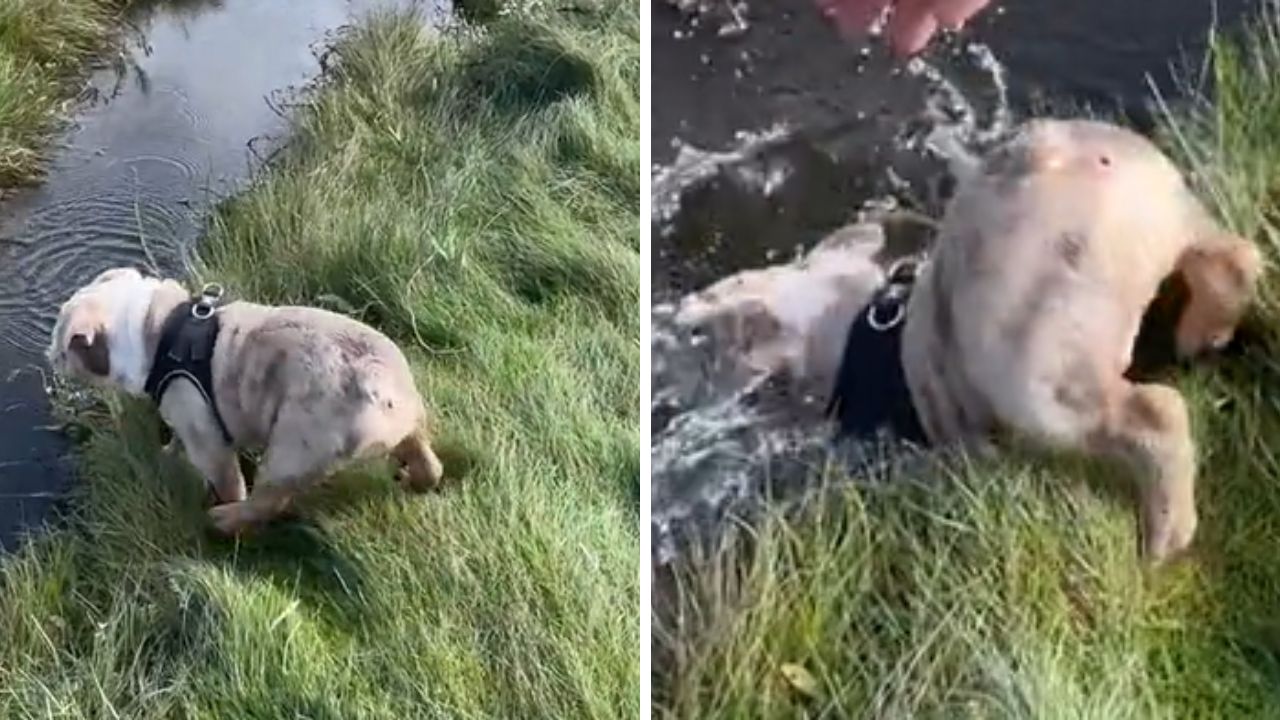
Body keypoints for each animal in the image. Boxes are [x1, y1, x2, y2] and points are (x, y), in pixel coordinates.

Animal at [48, 266, 445, 535]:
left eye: (62, 345)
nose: (49, 355)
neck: (157, 329)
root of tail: (383, 385)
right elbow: (176, 440)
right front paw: (168, 453)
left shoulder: (205, 436)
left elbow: (226, 480)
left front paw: (220, 500)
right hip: (411, 426)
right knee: (427, 460)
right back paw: (415, 479)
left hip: (292, 450)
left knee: (265, 502)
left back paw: (225, 520)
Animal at [906, 117, 1264, 558]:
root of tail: (1056, 159)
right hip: (1173, 210)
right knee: (1230, 259)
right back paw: (1201, 338)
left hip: (1033, 355)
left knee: (1150, 411)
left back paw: (1163, 542)